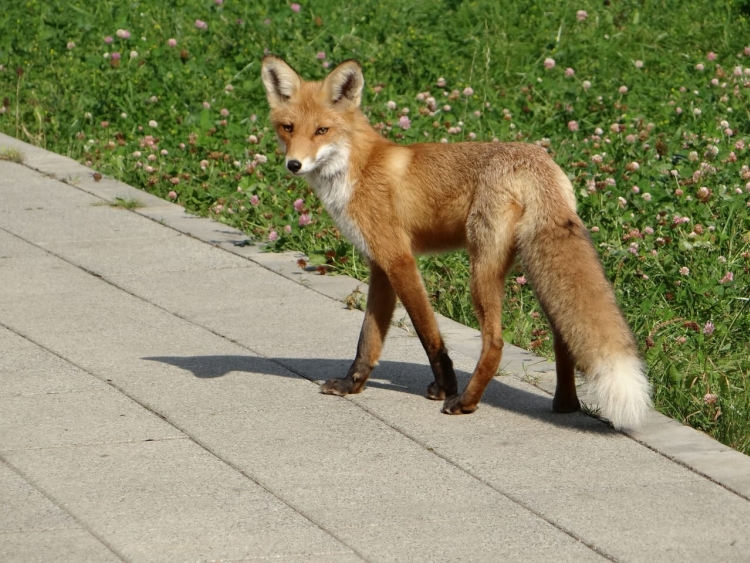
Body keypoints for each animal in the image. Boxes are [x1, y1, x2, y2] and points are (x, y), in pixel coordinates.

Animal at [260, 55, 652, 429]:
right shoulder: (380, 265)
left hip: (482, 271)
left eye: (322, 130)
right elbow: (368, 340)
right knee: (563, 336)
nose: (293, 164)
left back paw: (465, 401)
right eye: (288, 128)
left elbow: (428, 333)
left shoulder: (399, 259)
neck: (358, 168)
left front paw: (445, 385)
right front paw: (351, 384)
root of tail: (535, 160)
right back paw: (566, 405)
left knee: (495, 343)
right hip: (538, 271)